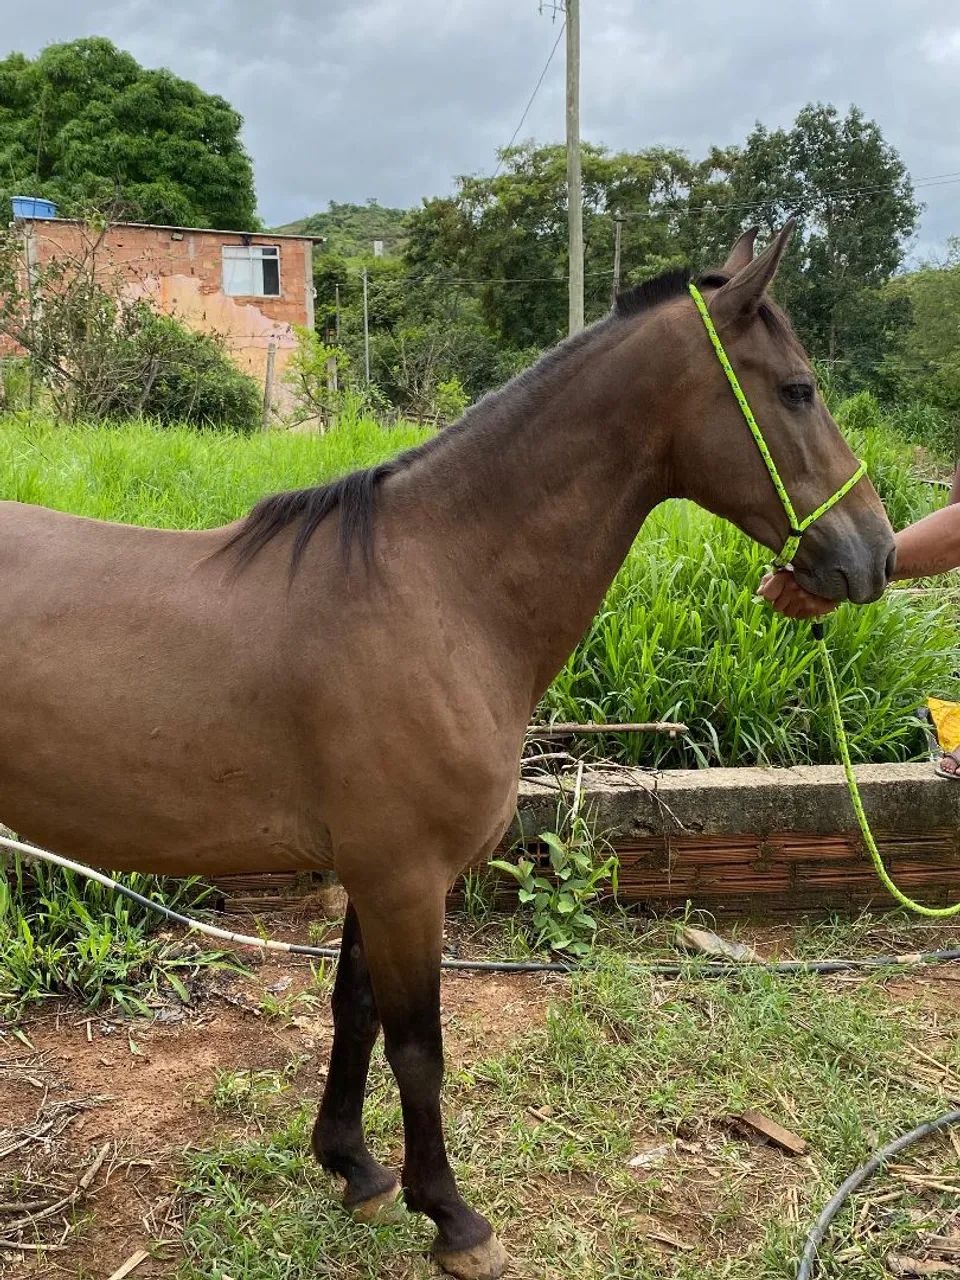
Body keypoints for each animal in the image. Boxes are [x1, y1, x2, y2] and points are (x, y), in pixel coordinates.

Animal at [0, 223, 895, 1279]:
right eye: (797, 388)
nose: (876, 552)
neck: (436, 586)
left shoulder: (375, 875)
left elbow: (354, 1012)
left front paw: (354, 1167)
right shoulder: (405, 880)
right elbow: (417, 1048)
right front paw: (454, 1219)